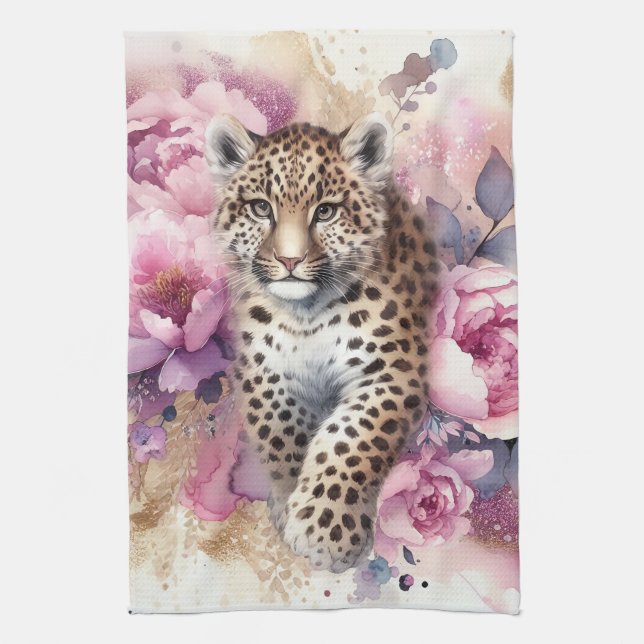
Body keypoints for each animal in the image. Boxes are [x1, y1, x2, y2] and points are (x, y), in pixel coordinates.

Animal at [205, 112, 440, 573]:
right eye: (261, 207)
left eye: (326, 212)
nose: (290, 260)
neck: (306, 316)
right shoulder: (262, 371)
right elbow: (280, 434)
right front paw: (287, 503)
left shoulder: (392, 370)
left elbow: (352, 439)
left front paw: (324, 531)